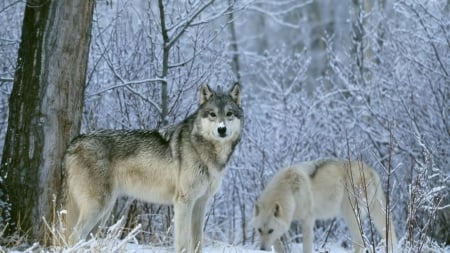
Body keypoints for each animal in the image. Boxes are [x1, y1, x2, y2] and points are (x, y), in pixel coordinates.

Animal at [63, 82, 243, 251]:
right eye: (212, 114)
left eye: (229, 114)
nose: (221, 129)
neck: (205, 150)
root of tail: (73, 142)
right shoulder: (184, 202)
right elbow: (183, 244)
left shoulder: (200, 203)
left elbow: (198, 244)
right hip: (98, 207)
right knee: (73, 236)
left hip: (103, 213)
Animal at [253, 159, 398, 253]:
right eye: (259, 230)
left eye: (270, 230)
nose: (262, 249)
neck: (290, 191)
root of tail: (371, 171)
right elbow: (278, 245)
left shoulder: (307, 220)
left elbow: (306, 248)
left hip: (350, 215)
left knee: (360, 242)